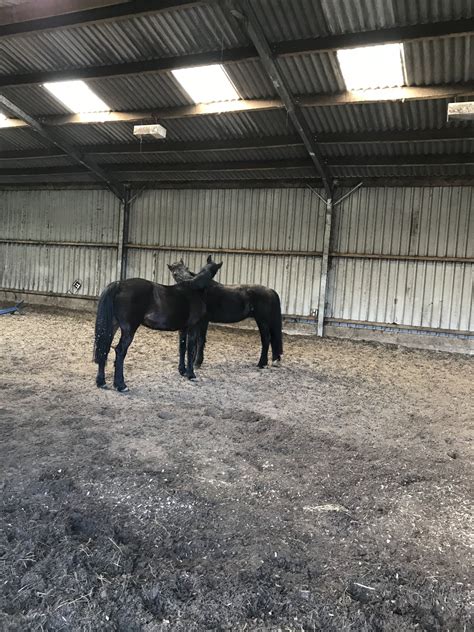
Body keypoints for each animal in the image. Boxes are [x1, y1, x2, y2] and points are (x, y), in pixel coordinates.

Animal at [96, 256, 224, 390]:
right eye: (174, 272)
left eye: (186, 268)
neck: (194, 289)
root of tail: (119, 284)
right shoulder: (192, 327)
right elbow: (190, 350)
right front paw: (191, 374)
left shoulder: (183, 329)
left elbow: (182, 348)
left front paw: (182, 371)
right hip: (129, 329)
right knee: (120, 351)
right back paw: (121, 385)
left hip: (112, 326)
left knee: (104, 348)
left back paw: (101, 382)